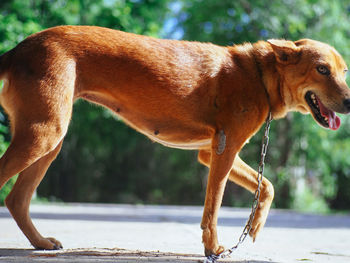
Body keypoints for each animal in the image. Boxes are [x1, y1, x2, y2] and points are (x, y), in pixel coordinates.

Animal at [0, 25, 350, 256]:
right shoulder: (224, 151)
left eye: (344, 72)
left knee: (16, 200)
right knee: (12, 190)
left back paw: (41, 243)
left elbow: (268, 186)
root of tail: (19, 49)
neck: (259, 75)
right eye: (322, 69)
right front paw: (214, 248)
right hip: (43, 134)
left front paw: (254, 227)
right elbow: (213, 208)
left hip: (51, 140)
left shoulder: (210, 152)